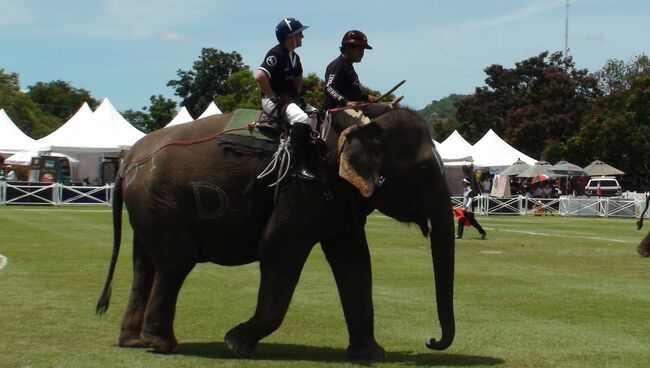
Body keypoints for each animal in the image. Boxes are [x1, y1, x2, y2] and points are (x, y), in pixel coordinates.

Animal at [96, 106, 454, 360]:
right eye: (424, 170)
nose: (430, 340)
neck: (356, 122)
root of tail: (127, 162)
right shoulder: (300, 187)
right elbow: (278, 249)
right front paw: (235, 343)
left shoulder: (338, 202)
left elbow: (354, 261)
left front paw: (371, 354)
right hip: (163, 205)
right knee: (175, 265)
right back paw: (162, 344)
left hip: (149, 209)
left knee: (144, 266)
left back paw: (133, 341)